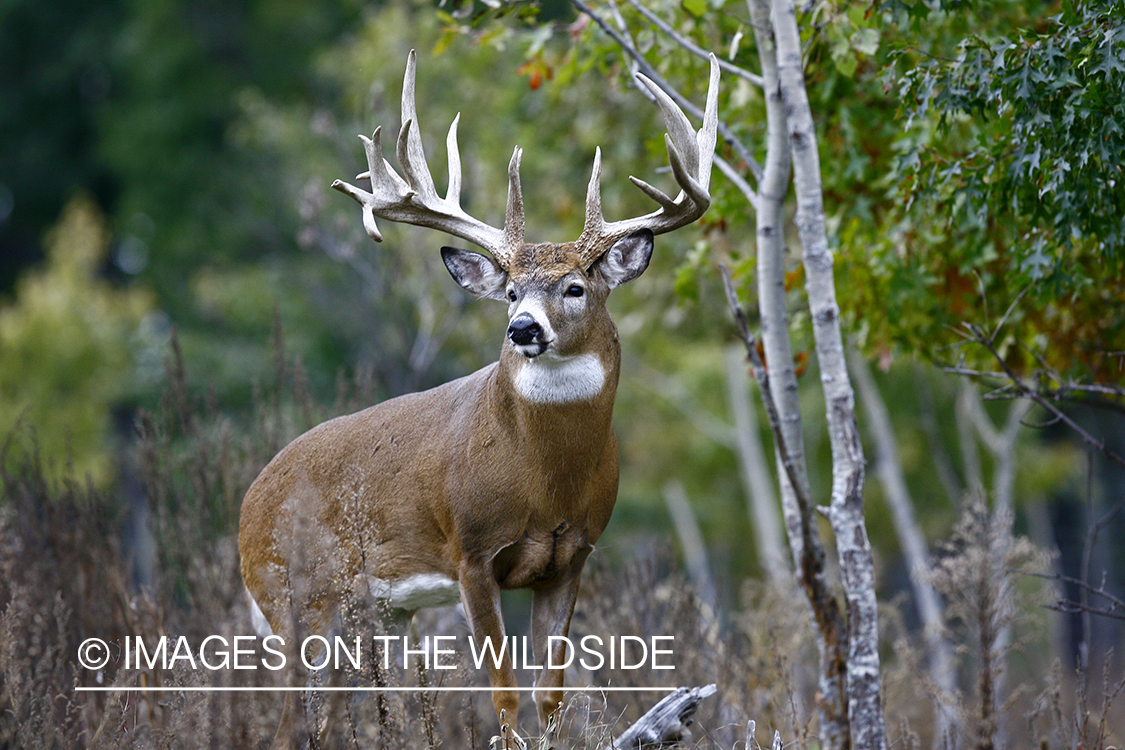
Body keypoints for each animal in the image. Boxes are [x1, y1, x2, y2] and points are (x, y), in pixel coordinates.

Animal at [238, 49, 720, 746]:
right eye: (512, 290)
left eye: (575, 287)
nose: (523, 329)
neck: (546, 480)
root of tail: (245, 506)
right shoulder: (470, 552)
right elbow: (505, 694)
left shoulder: (572, 556)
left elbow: (551, 694)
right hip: (294, 599)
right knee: (287, 722)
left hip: (380, 614)